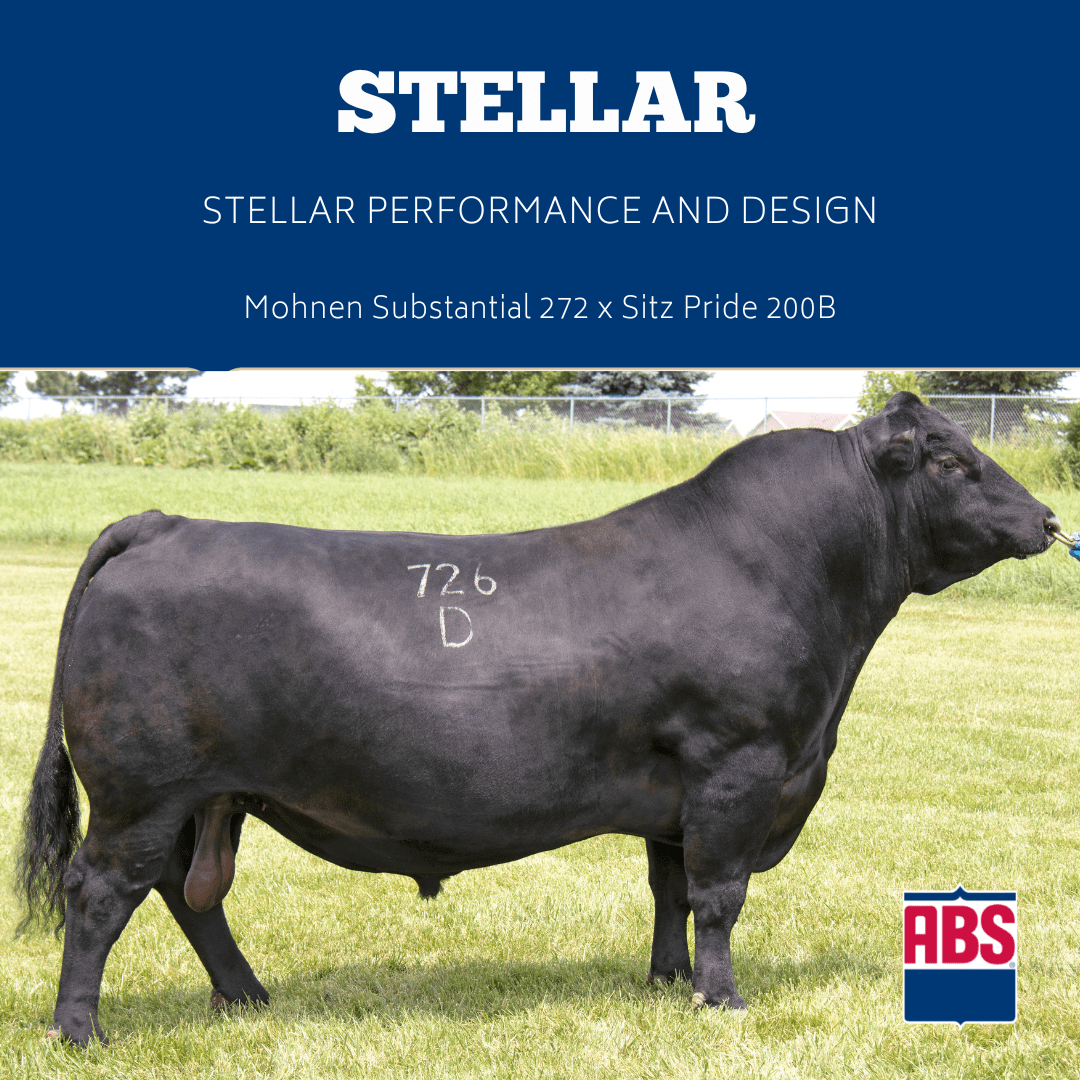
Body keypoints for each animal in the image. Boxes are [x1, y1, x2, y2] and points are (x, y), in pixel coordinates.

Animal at [17, 392, 1064, 1046]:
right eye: (949, 459)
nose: (1050, 520)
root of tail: (165, 522)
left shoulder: (679, 789)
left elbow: (670, 889)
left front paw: (668, 982)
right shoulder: (740, 765)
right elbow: (719, 894)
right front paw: (722, 1000)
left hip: (201, 796)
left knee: (189, 896)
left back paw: (246, 996)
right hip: (139, 789)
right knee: (101, 894)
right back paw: (81, 1030)